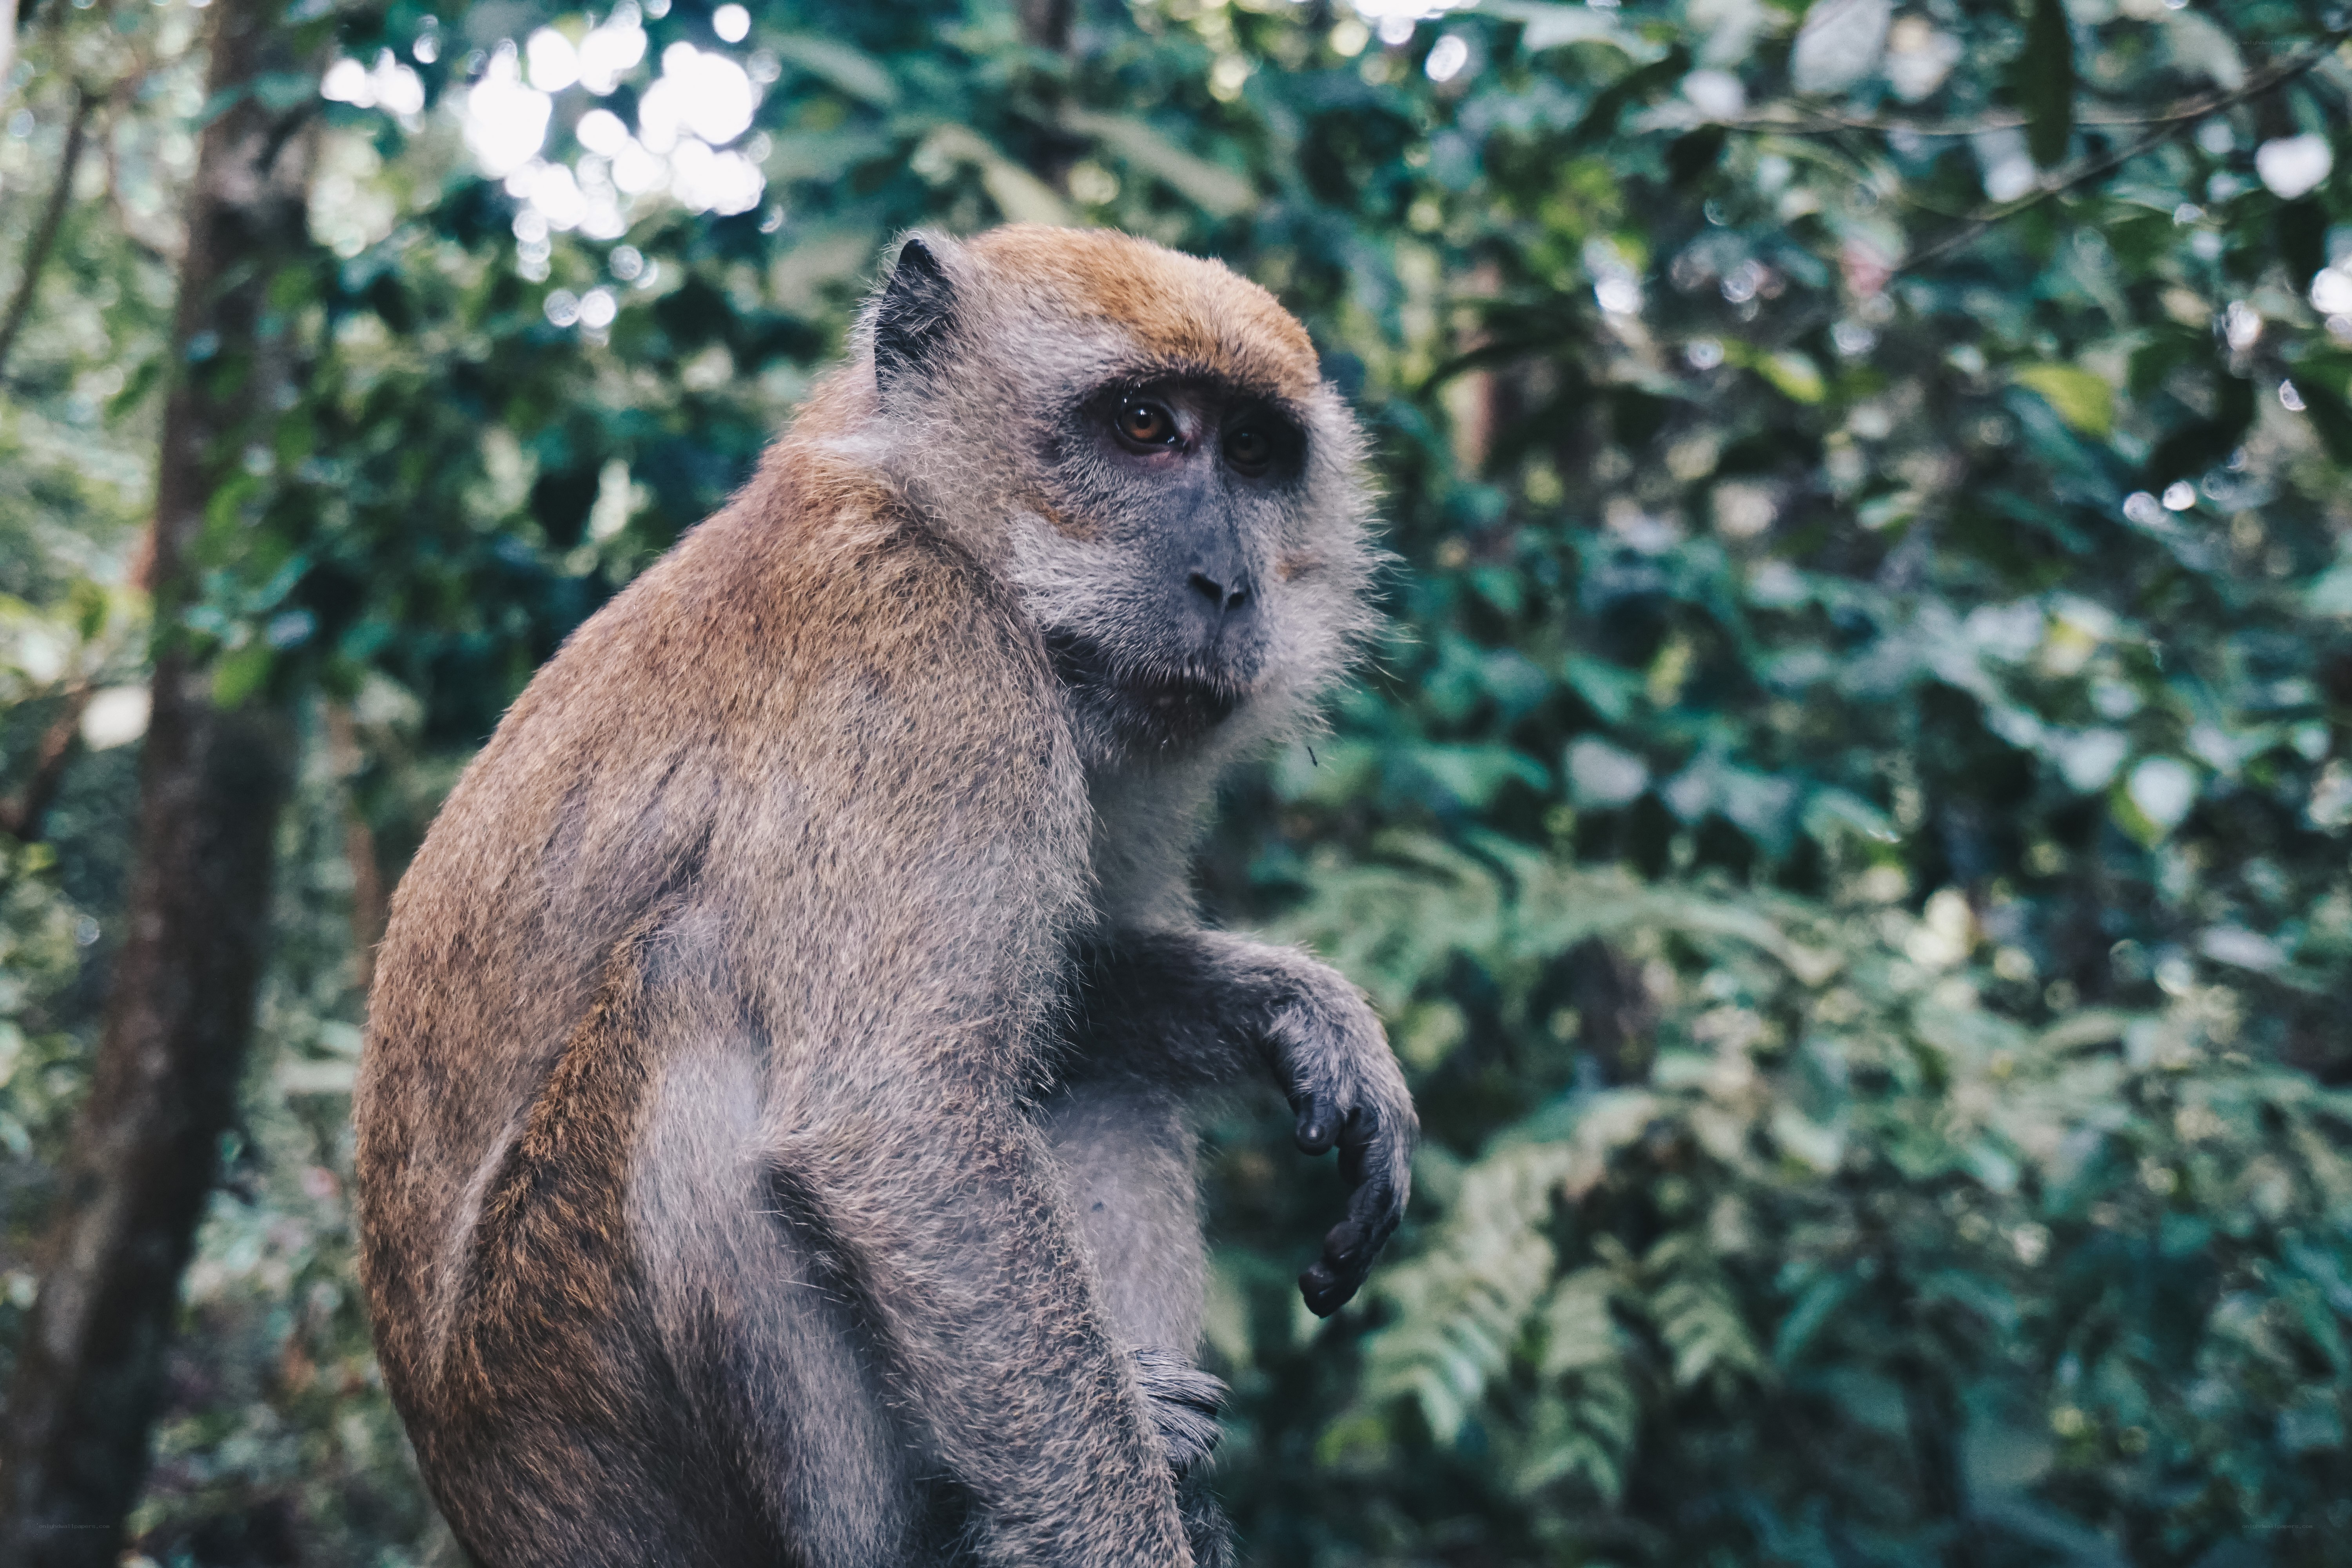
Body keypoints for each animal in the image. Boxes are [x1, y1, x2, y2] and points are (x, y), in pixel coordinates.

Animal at [353, 225, 1416, 1568]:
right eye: (1141, 426)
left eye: (1256, 453)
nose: (1227, 585)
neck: (930, 515)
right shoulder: (925, 675)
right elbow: (899, 1126)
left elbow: (1068, 995)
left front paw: (1299, 1012)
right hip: (578, 1413)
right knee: (695, 982)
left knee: (1092, 1062)